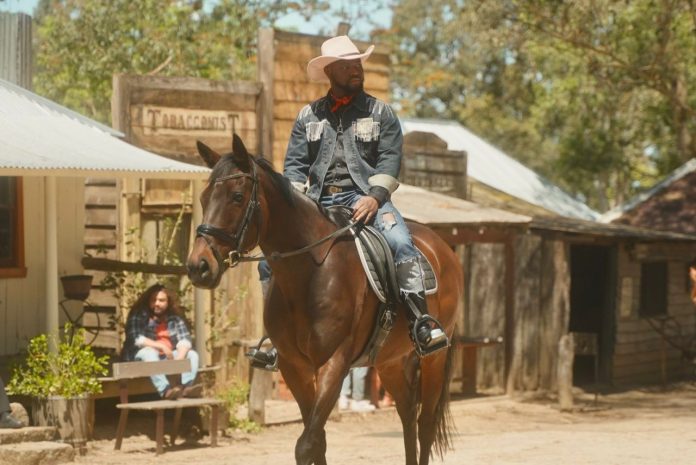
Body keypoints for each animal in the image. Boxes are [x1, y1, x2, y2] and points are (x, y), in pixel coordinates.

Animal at [188, 135, 464, 464]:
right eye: (204, 198)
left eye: (237, 196)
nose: (199, 266)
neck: (310, 274)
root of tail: (442, 247)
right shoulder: (294, 367)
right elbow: (316, 440)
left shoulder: (333, 364)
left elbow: (307, 444)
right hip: (390, 361)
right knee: (408, 416)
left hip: (434, 358)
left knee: (425, 425)